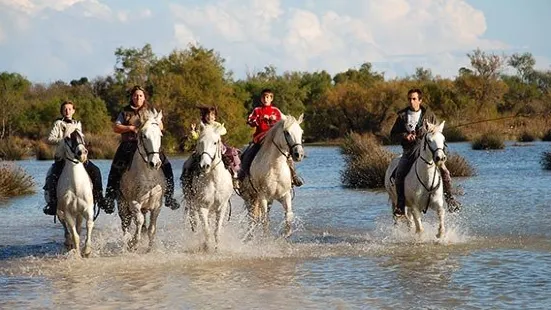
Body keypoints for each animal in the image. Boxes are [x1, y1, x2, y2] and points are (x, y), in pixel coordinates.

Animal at [56, 124, 95, 258]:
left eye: (82, 135)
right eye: (68, 137)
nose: (82, 153)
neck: (76, 186)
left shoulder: (88, 209)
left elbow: (89, 225)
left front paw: (87, 250)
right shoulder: (68, 213)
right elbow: (75, 235)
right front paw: (77, 253)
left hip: (79, 214)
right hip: (60, 211)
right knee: (65, 226)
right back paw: (68, 242)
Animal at [118, 109, 166, 249]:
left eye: (160, 135)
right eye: (144, 136)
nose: (155, 163)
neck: (148, 175)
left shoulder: (157, 206)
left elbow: (151, 228)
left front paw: (150, 247)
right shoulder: (134, 203)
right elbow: (139, 221)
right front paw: (134, 242)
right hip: (122, 204)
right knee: (126, 224)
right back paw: (127, 240)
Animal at [182, 123, 232, 252]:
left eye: (215, 142)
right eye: (200, 142)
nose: (205, 165)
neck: (213, 179)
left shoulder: (222, 207)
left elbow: (216, 231)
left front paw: (217, 248)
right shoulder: (202, 207)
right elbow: (206, 230)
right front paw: (206, 247)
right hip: (192, 205)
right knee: (196, 224)